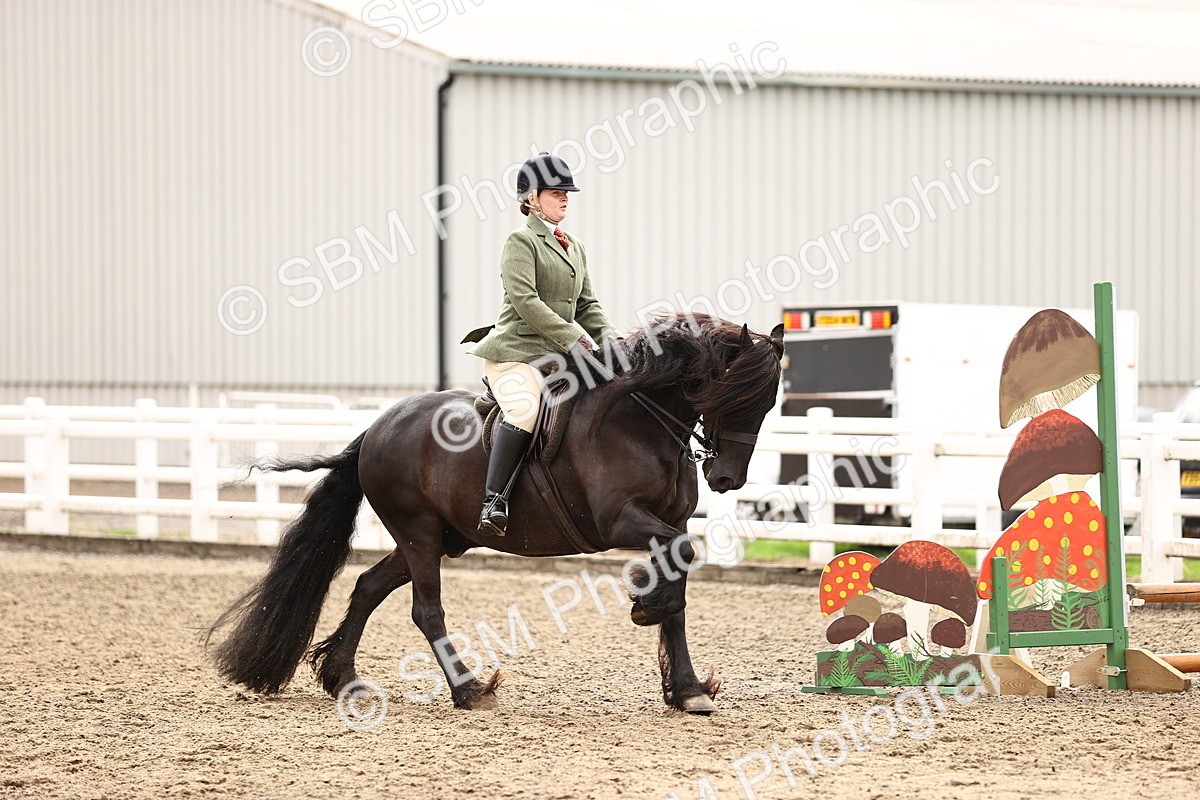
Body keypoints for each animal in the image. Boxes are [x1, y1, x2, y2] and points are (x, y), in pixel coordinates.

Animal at [205, 314, 784, 714]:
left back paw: (343, 678)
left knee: (368, 587)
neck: (641, 420)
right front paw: (647, 606)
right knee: (425, 610)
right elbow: (677, 569)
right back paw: (468, 690)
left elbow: (680, 590)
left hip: (439, 537)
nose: (727, 479)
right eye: (734, 395)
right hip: (418, 533)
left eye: (767, 402)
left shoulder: (671, 523)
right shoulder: (619, 521)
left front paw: (686, 688)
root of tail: (378, 427)